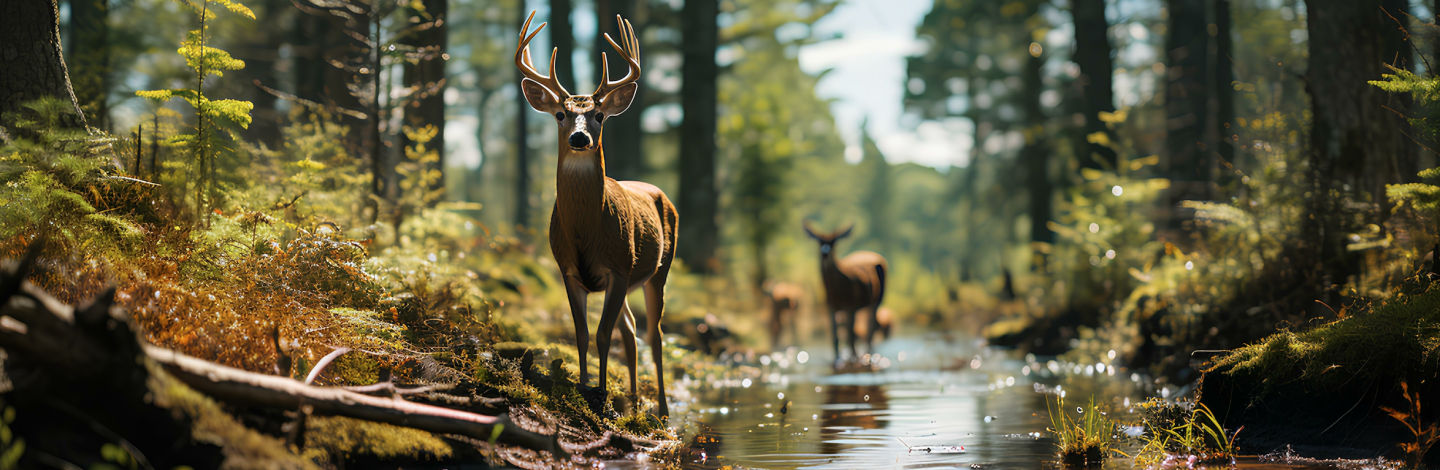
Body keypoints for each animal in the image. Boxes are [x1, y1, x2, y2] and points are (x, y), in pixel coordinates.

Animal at [515, 10, 676, 418]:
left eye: (600, 115)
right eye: (560, 113)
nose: (579, 138)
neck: (585, 232)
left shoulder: (618, 266)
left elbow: (603, 336)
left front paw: (601, 396)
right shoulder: (568, 271)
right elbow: (583, 335)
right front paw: (584, 390)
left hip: (657, 270)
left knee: (654, 333)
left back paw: (662, 409)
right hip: (628, 281)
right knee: (631, 329)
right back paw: (634, 402)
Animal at [800, 220, 887, 363]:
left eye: (833, 241)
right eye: (819, 241)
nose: (825, 252)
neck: (836, 292)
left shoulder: (850, 306)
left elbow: (850, 337)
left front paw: (854, 360)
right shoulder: (831, 306)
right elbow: (835, 338)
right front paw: (837, 360)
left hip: (876, 299)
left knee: (869, 330)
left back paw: (868, 356)